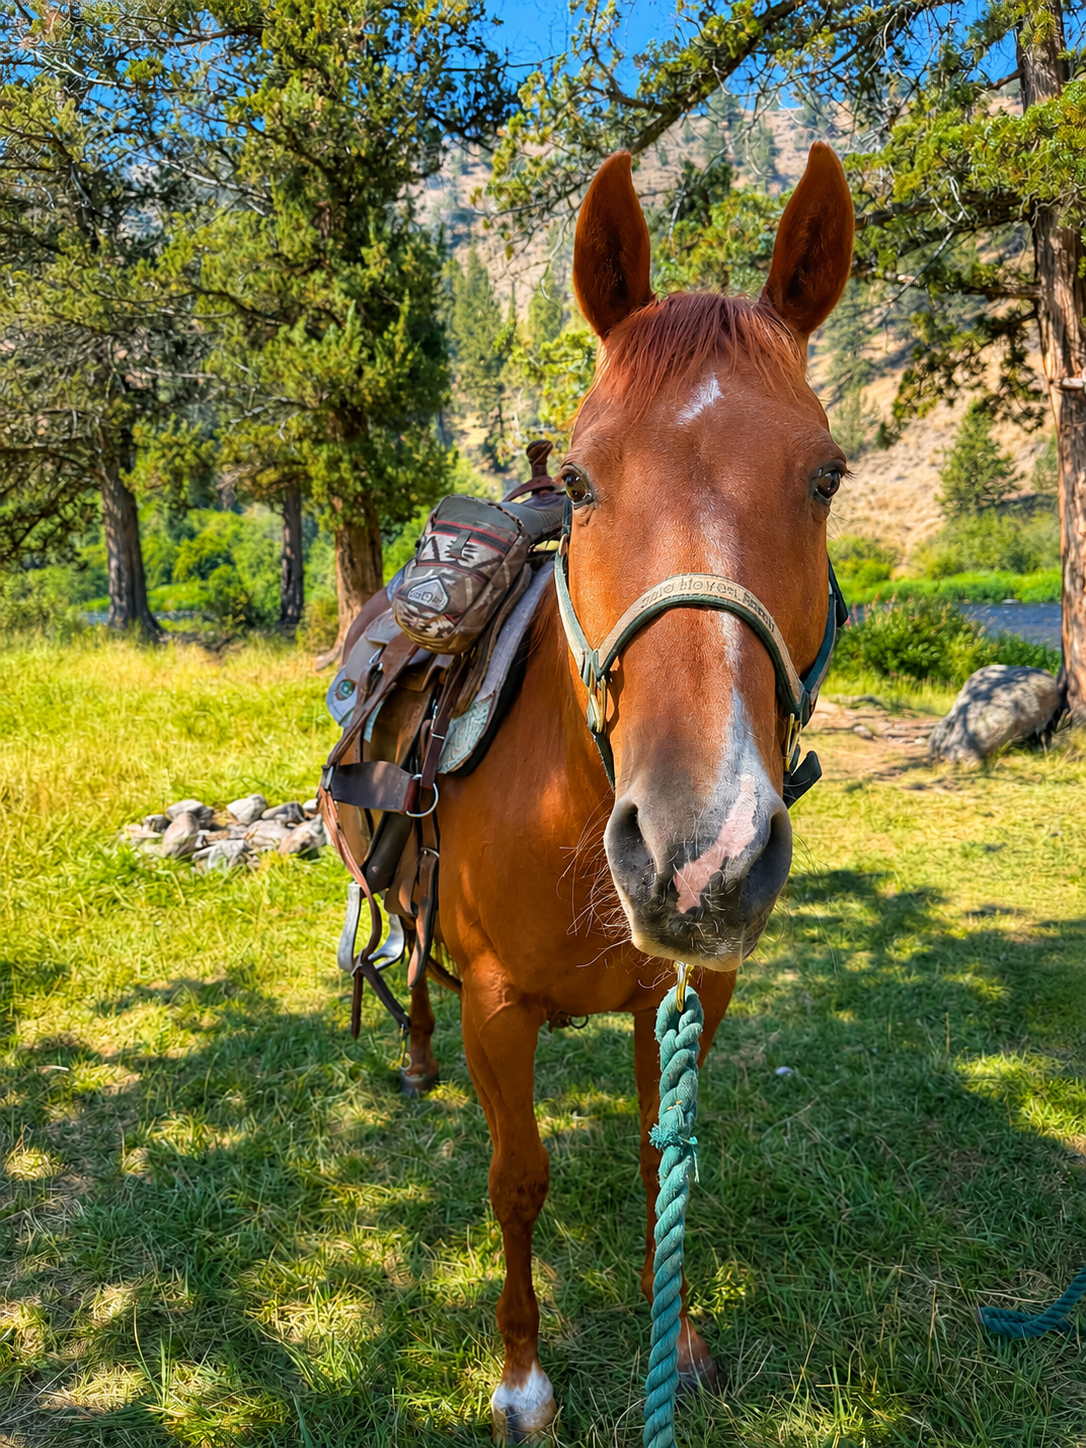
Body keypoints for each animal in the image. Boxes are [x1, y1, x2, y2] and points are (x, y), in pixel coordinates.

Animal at [399, 141, 854, 1442]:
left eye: (826, 476)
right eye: (586, 479)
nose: (699, 852)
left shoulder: (690, 994)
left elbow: (667, 1164)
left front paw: (680, 1340)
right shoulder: (497, 1011)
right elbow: (517, 1179)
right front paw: (520, 1376)